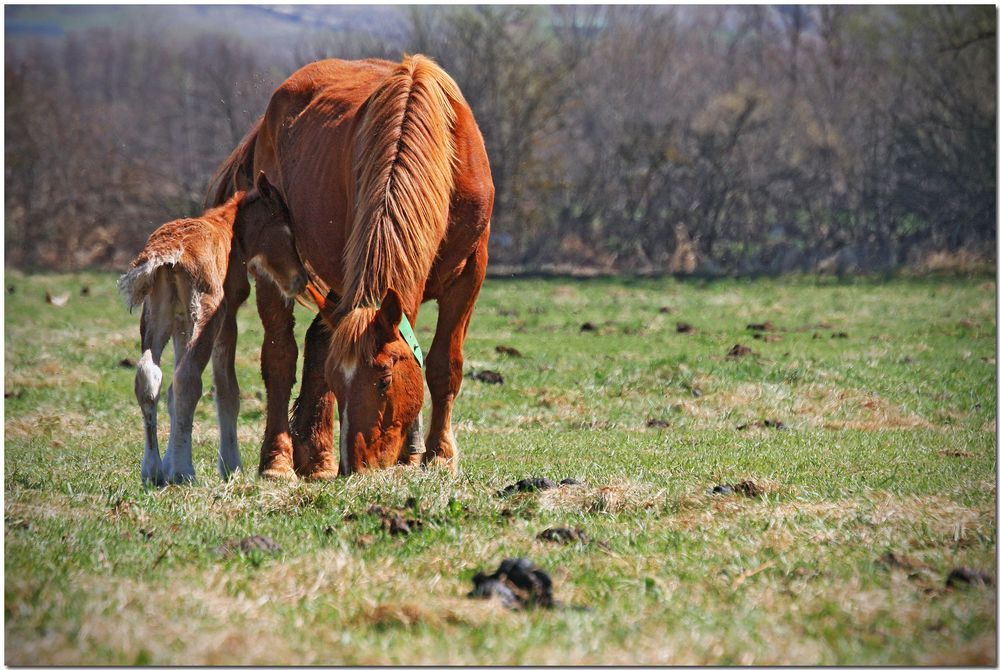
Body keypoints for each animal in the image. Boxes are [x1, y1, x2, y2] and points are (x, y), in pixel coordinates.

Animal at [118, 176, 304, 486]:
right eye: (288, 231)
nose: (302, 278)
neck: (232, 234)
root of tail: (168, 254)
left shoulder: (181, 322)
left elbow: (170, 393)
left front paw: (167, 463)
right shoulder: (228, 316)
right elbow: (227, 390)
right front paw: (231, 466)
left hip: (157, 313)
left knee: (149, 375)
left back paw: (153, 470)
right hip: (207, 312)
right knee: (188, 378)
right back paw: (183, 471)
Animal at [210, 55, 492, 480]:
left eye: (384, 380)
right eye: (339, 384)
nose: (357, 466)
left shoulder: (470, 274)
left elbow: (444, 365)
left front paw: (436, 455)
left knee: (317, 339)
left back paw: (315, 454)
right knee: (281, 358)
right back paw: (279, 460)